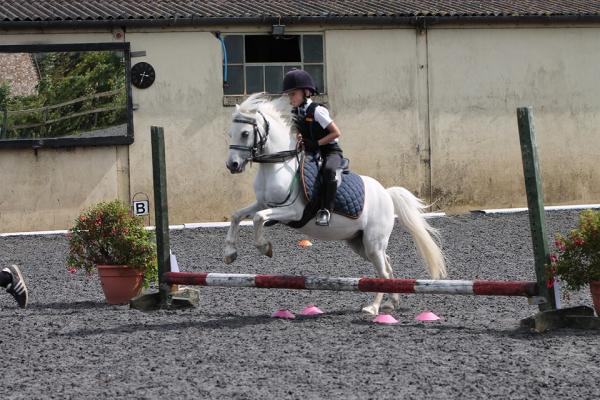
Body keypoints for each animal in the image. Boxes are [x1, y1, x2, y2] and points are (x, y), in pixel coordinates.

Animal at [223, 94, 442, 316]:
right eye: (230, 133)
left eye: (245, 133)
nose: (232, 165)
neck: (278, 165)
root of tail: (386, 194)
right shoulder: (262, 203)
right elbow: (237, 215)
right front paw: (230, 253)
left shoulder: (293, 211)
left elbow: (258, 218)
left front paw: (264, 247)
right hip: (360, 243)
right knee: (386, 265)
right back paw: (391, 302)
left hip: (373, 242)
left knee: (381, 271)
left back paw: (373, 308)